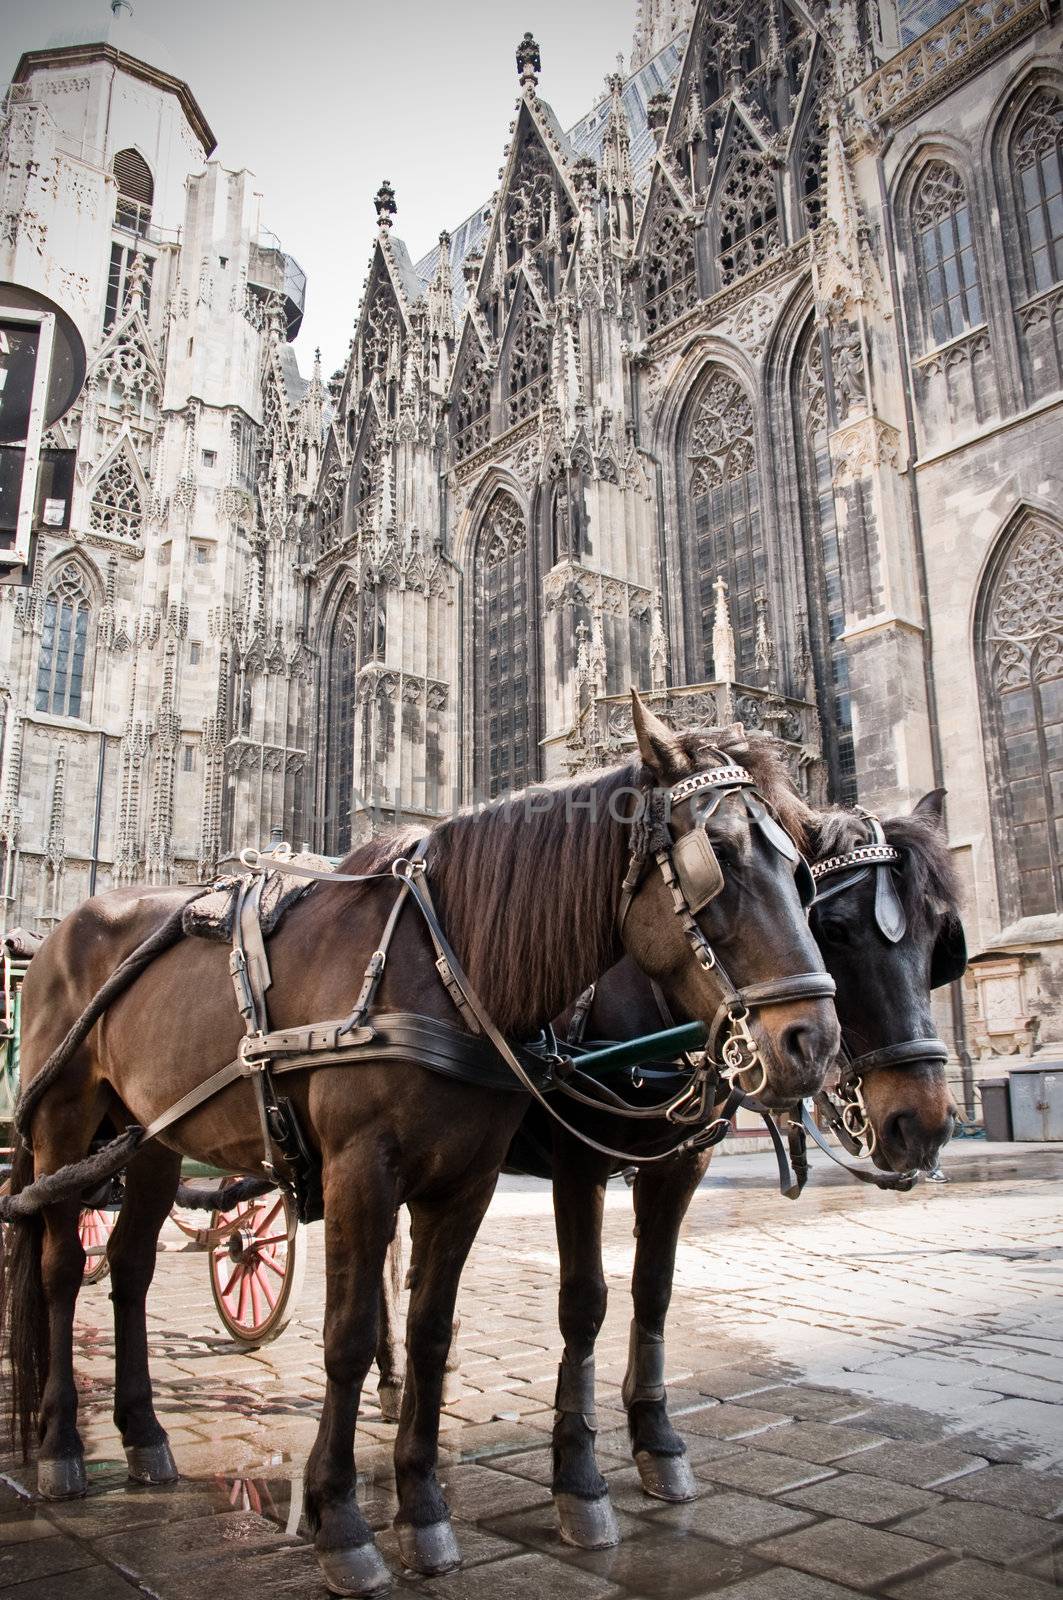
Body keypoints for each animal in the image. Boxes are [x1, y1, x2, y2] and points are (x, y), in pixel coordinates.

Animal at [0, 704, 838, 1600]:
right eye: (716, 854)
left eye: (800, 867)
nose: (812, 1042)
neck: (440, 965)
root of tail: (60, 932)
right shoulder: (369, 1172)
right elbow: (350, 1333)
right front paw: (342, 1523)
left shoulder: (468, 1183)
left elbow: (435, 1328)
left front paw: (425, 1512)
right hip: (60, 1125)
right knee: (58, 1268)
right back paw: (61, 1448)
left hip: (151, 1136)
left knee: (129, 1268)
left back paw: (145, 1437)